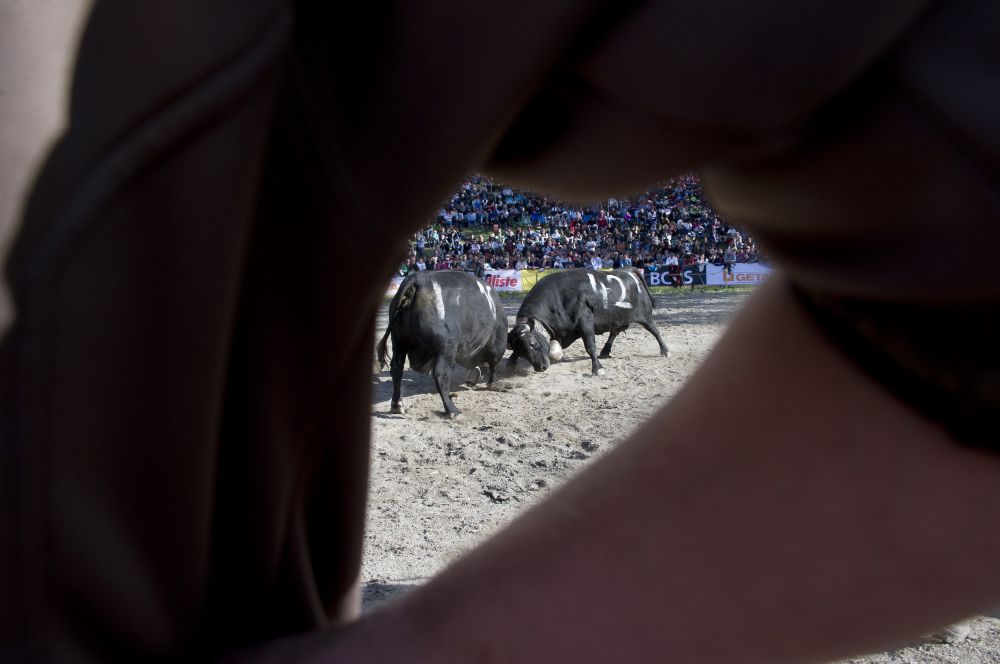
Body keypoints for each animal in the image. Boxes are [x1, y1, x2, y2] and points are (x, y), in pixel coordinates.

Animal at [376, 268, 508, 416]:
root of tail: (417, 280)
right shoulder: (497, 345)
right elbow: (494, 365)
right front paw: (492, 384)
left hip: (399, 342)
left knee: (397, 369)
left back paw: (397, 405)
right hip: (446, 348)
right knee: (440, 375)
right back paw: (452, 410)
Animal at [512, 268, 668, 374]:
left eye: (532, 344)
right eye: (519, 349)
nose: (540, 367)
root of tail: (628, 270)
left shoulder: (585, 322)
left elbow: (590, 346)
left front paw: (597, 368)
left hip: (645, 315)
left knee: (655, 330)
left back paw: (665, 350)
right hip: (617, 317)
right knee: (614, 332)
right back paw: (605, 351)